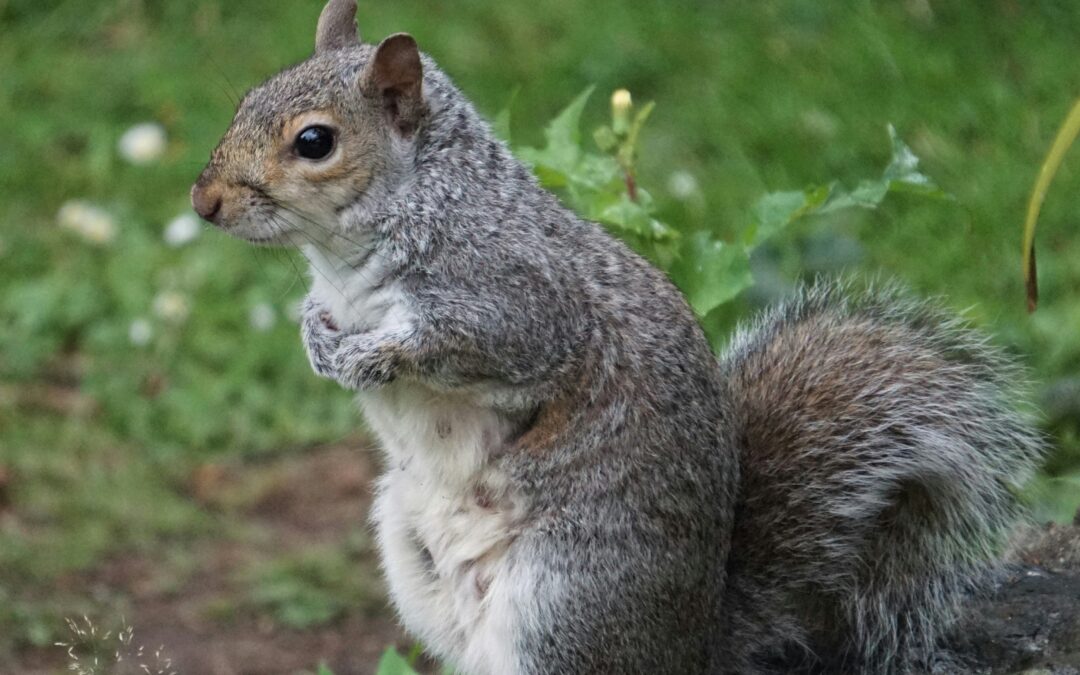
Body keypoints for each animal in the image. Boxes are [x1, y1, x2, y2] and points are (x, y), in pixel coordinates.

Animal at [191, 1, 1044, 672]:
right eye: (245, 100)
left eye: (314, 143)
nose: (203, 201)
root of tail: (693, 649)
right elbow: (319, 316)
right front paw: (316, 338)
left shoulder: (521, 304)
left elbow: (465, 342)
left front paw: (373, 355)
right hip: (416, 565)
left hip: (563, 604)